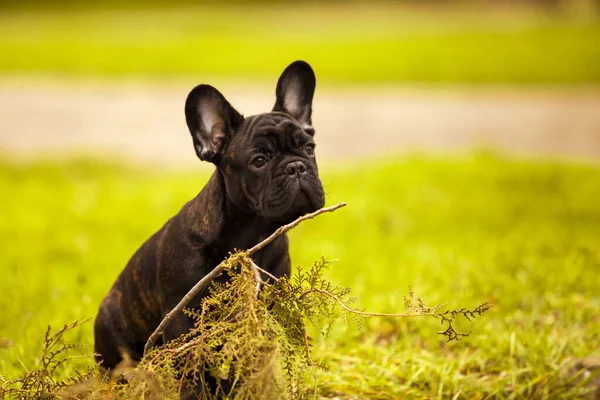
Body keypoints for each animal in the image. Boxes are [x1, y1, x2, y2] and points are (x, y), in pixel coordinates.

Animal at [93, 61, 324, 378]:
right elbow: (190, 372)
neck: (251, 236)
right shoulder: (181, 319)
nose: (296, 167)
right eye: (259, 161)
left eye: (309, 148)